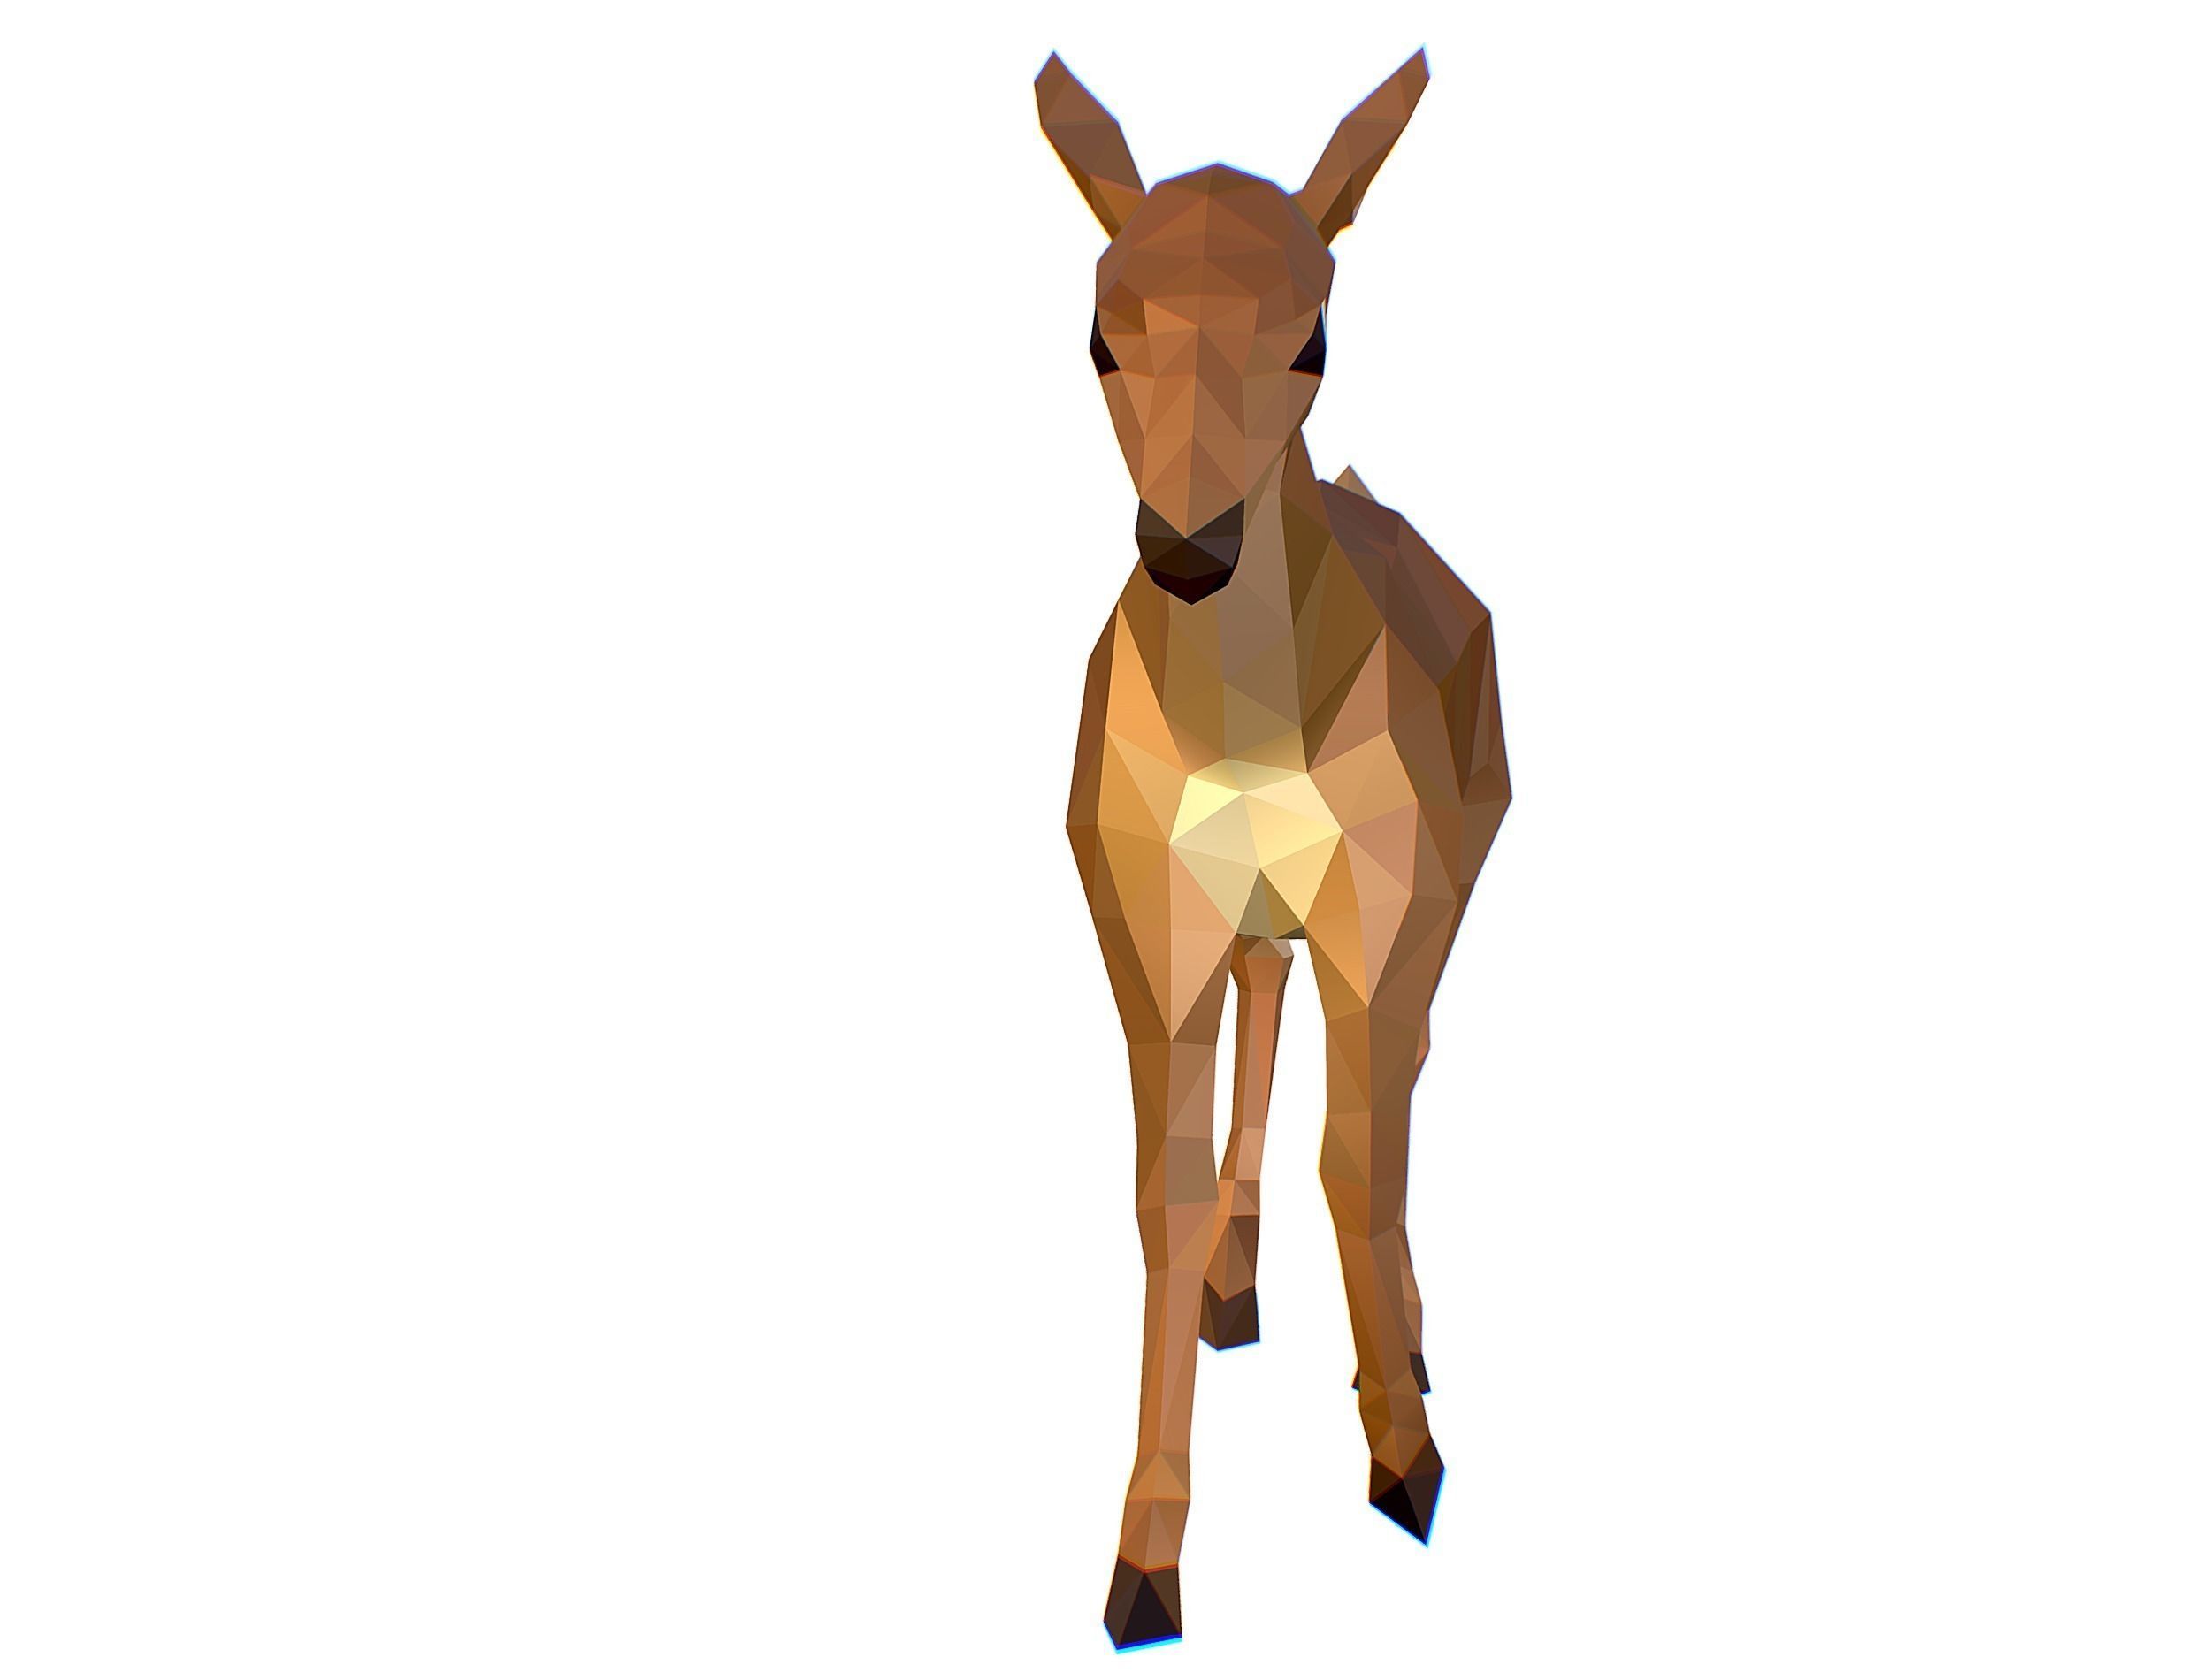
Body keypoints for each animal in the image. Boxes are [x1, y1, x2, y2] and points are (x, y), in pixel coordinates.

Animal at [1038, 49, 1514, 1649]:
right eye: (1099, 334)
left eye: (1313, 332)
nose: (1186, 553)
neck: (1247, 731)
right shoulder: (1144, 931)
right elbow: (1160, 1196)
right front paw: (1143, 1567)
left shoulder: (1387, 907)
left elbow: (1359, 1158)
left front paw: (1405, 1460)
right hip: (1256, 925)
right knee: (1269, 999)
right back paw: (1238, 1288)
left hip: (1432, 902)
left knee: (1397, 1084)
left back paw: (1410, 1347)